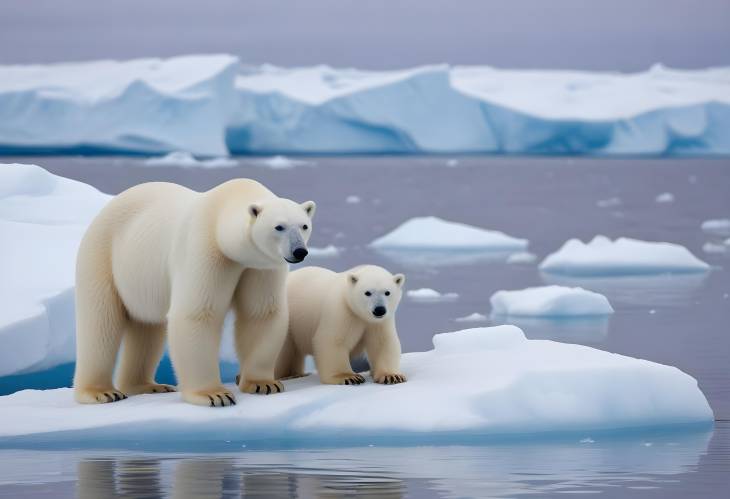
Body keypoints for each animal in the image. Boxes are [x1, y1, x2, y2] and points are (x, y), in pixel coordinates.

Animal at [72, 180, 314, 406]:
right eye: (279, 227)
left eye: (304, 226)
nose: (299, 251)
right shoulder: (205, 249)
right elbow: (197, 313)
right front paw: (214, 395)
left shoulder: (261, 267)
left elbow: (261, 313)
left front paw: (264, 384)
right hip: (103, 255)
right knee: (101, 323)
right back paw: (101, 392)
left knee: (147, 327)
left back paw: (147, 386)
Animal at [276, 266, 406, 386]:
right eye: (367, 292)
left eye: (387, 292)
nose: (379, 310)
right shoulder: (341, 311)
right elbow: (333, 340)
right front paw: (349, 377)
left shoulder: (378, 322)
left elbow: (382, 343)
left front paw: (391, 376)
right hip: (288, 320)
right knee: (285, 351)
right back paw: (289, 375)